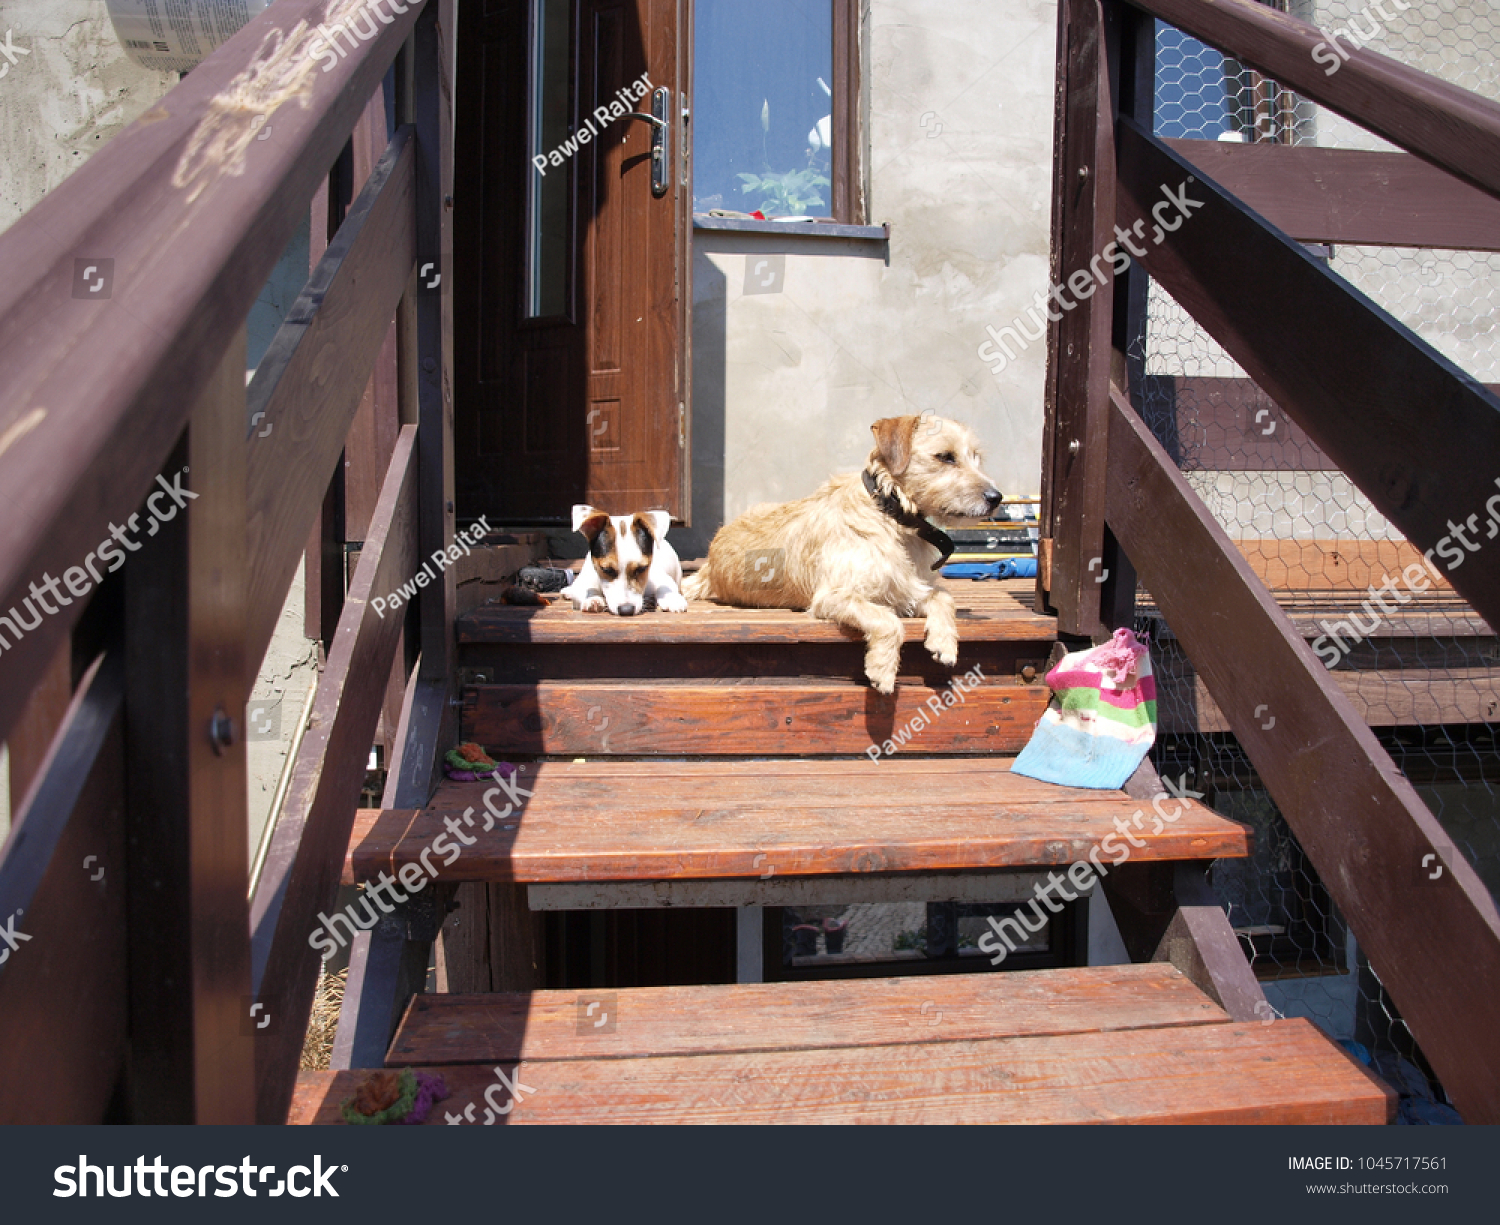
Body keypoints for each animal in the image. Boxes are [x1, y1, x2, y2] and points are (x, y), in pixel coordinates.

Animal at [687, 416, 1002, 692]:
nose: (996, 498)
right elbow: (887, 619)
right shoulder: (834, 595)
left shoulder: (907, 589)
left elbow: (943, 596)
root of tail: (709, 563)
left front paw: (944, 642)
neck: (891, 514)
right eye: (945, 456)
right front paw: (882, 670)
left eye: (976, 456)